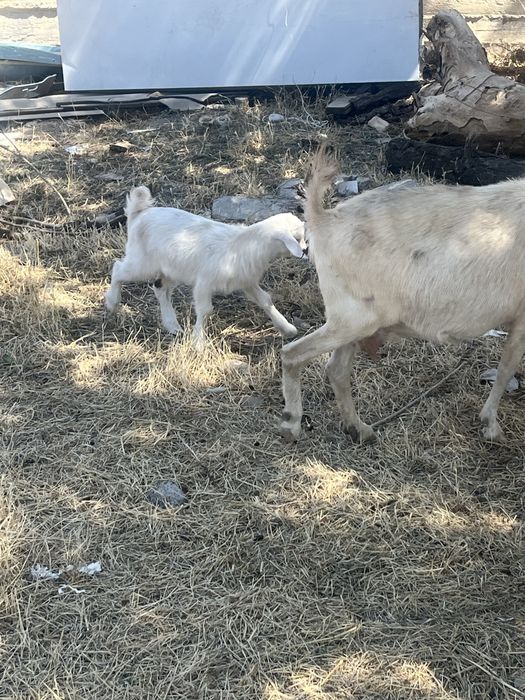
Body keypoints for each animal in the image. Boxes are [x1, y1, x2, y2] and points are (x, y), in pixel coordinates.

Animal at [105, 187, 306, 349]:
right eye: (298, 238)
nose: (305, 251)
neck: (245, 244)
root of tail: (138, 214)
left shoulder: (246, 280)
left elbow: (265, 300)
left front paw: (287, 329)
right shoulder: (204, 283)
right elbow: (206, 310)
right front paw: (199, 343)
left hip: (171, 268)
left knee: (160, 288)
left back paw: (172, 326)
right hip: (142, 263)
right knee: (118, 269)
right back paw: (112, 303)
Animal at [280, 145, 525, 443]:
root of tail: (323, 219)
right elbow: (506, 369)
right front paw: (491, 426)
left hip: (354, 321)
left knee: (336, 369)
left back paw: (359, 429)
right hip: (353, 319)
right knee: (291, 354)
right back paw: (291, 423)